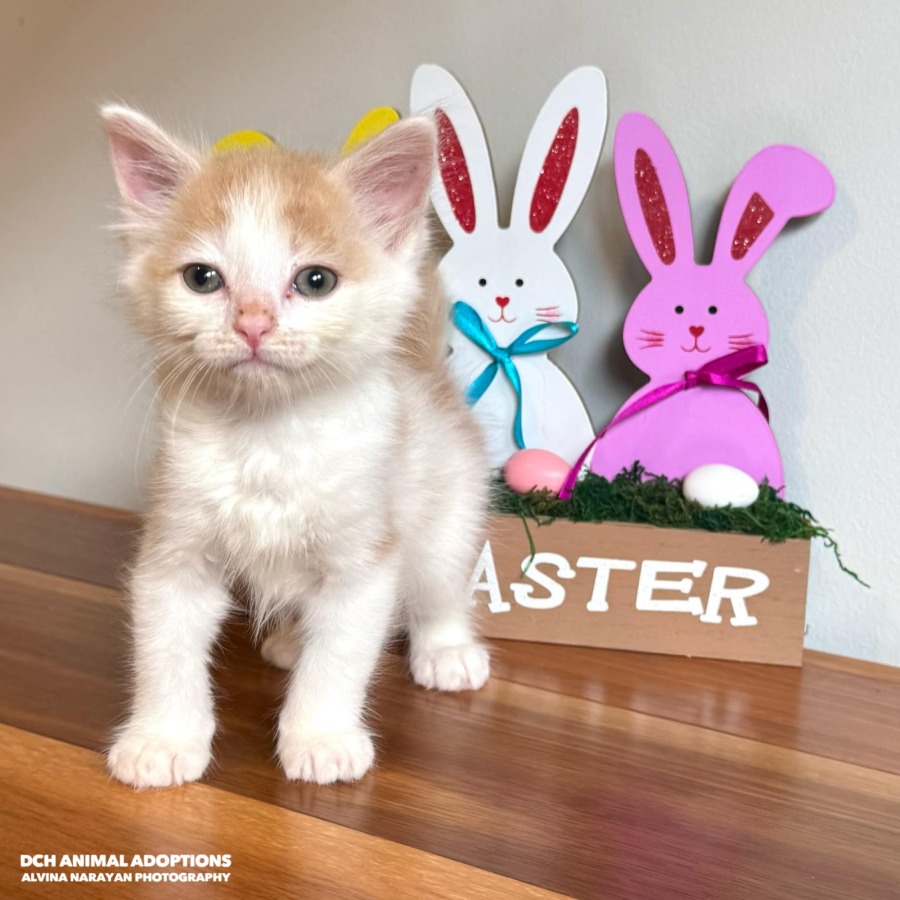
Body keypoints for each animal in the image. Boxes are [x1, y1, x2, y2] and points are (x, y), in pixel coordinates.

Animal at [102, 105, 490, 788]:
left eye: (315, 281)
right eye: (202, 278)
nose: (253, 323)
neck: (267, 435)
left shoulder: (364, 559)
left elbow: (340, 655)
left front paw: (322, 737)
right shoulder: (174, 544)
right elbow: (164, 645)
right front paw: (162, 740)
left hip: (448, 509)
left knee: (439, 580)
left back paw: (448, 650)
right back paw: (288, 640)